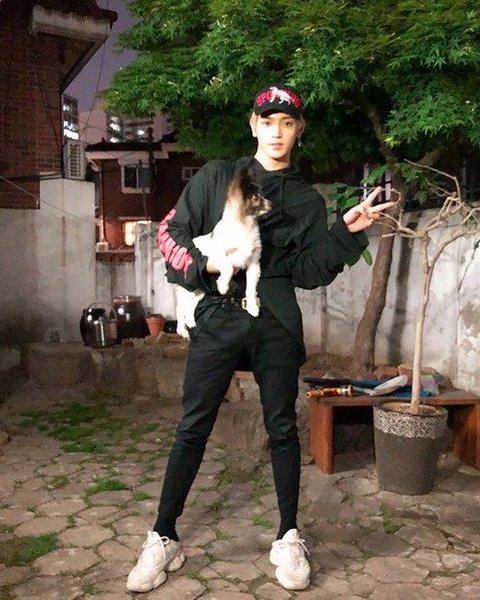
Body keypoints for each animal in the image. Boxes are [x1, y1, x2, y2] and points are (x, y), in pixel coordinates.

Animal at [176, 167, 271, 338]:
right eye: (256, 197)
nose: (270, 204)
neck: (245, 226)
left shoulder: (253, 264)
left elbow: (251, 288)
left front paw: (252, 307)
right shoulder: (217, 256)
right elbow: (228, 267)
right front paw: (222, 286)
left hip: (199, 289)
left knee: (190, 304)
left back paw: (190, 322)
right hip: (188, 286)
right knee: (180, 306)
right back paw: (182, 330)